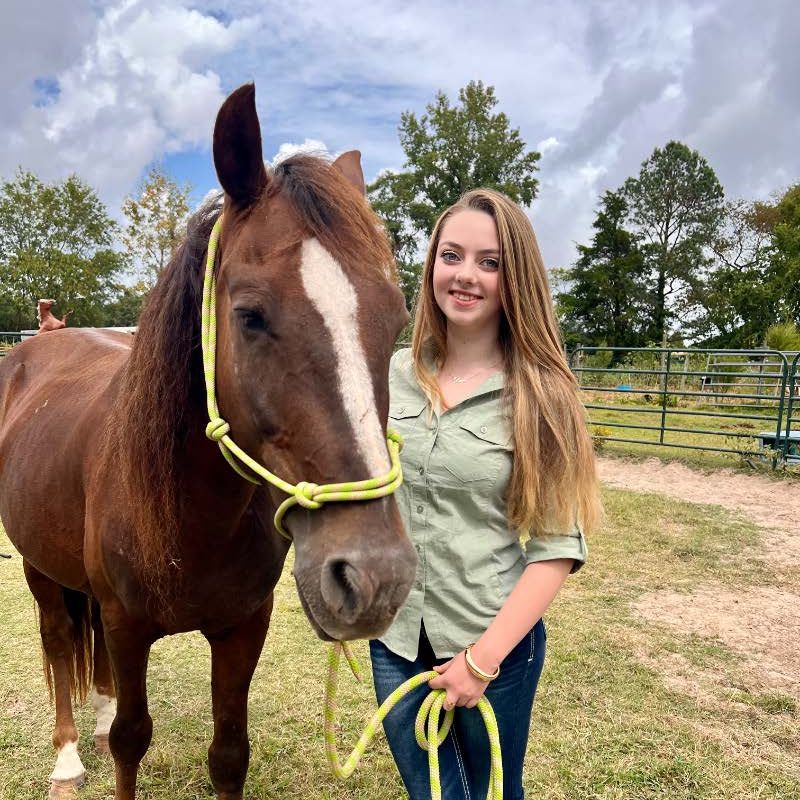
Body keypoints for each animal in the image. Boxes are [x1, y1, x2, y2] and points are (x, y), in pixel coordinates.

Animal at [0, 83, 416, 800]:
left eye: (395, 320)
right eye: (249, 315)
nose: (375, 577)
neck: (191, 515)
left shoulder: (243, 627)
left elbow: (228, 753)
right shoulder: (127, 624)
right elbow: (130, 742)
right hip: (39, 569)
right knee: (58, 642)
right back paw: (68, 757)